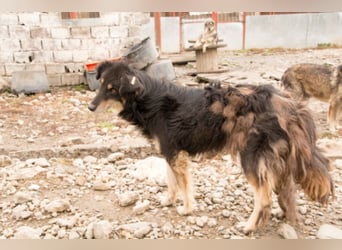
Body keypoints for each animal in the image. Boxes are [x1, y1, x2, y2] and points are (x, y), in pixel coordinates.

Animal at [88, 59, 334, 233]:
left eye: (112, 89)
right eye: (101, 85)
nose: (90, 107)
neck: (148, 99)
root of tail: (288, 104)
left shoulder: (176, 154)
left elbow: (184, 186)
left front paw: (186, 209)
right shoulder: (170, 151)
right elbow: (170, 182)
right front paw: (168, 201)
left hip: (252, 158)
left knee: (264, 198)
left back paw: (249, 227)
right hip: (278, 158)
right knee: (286, 189)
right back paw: (287, 217)